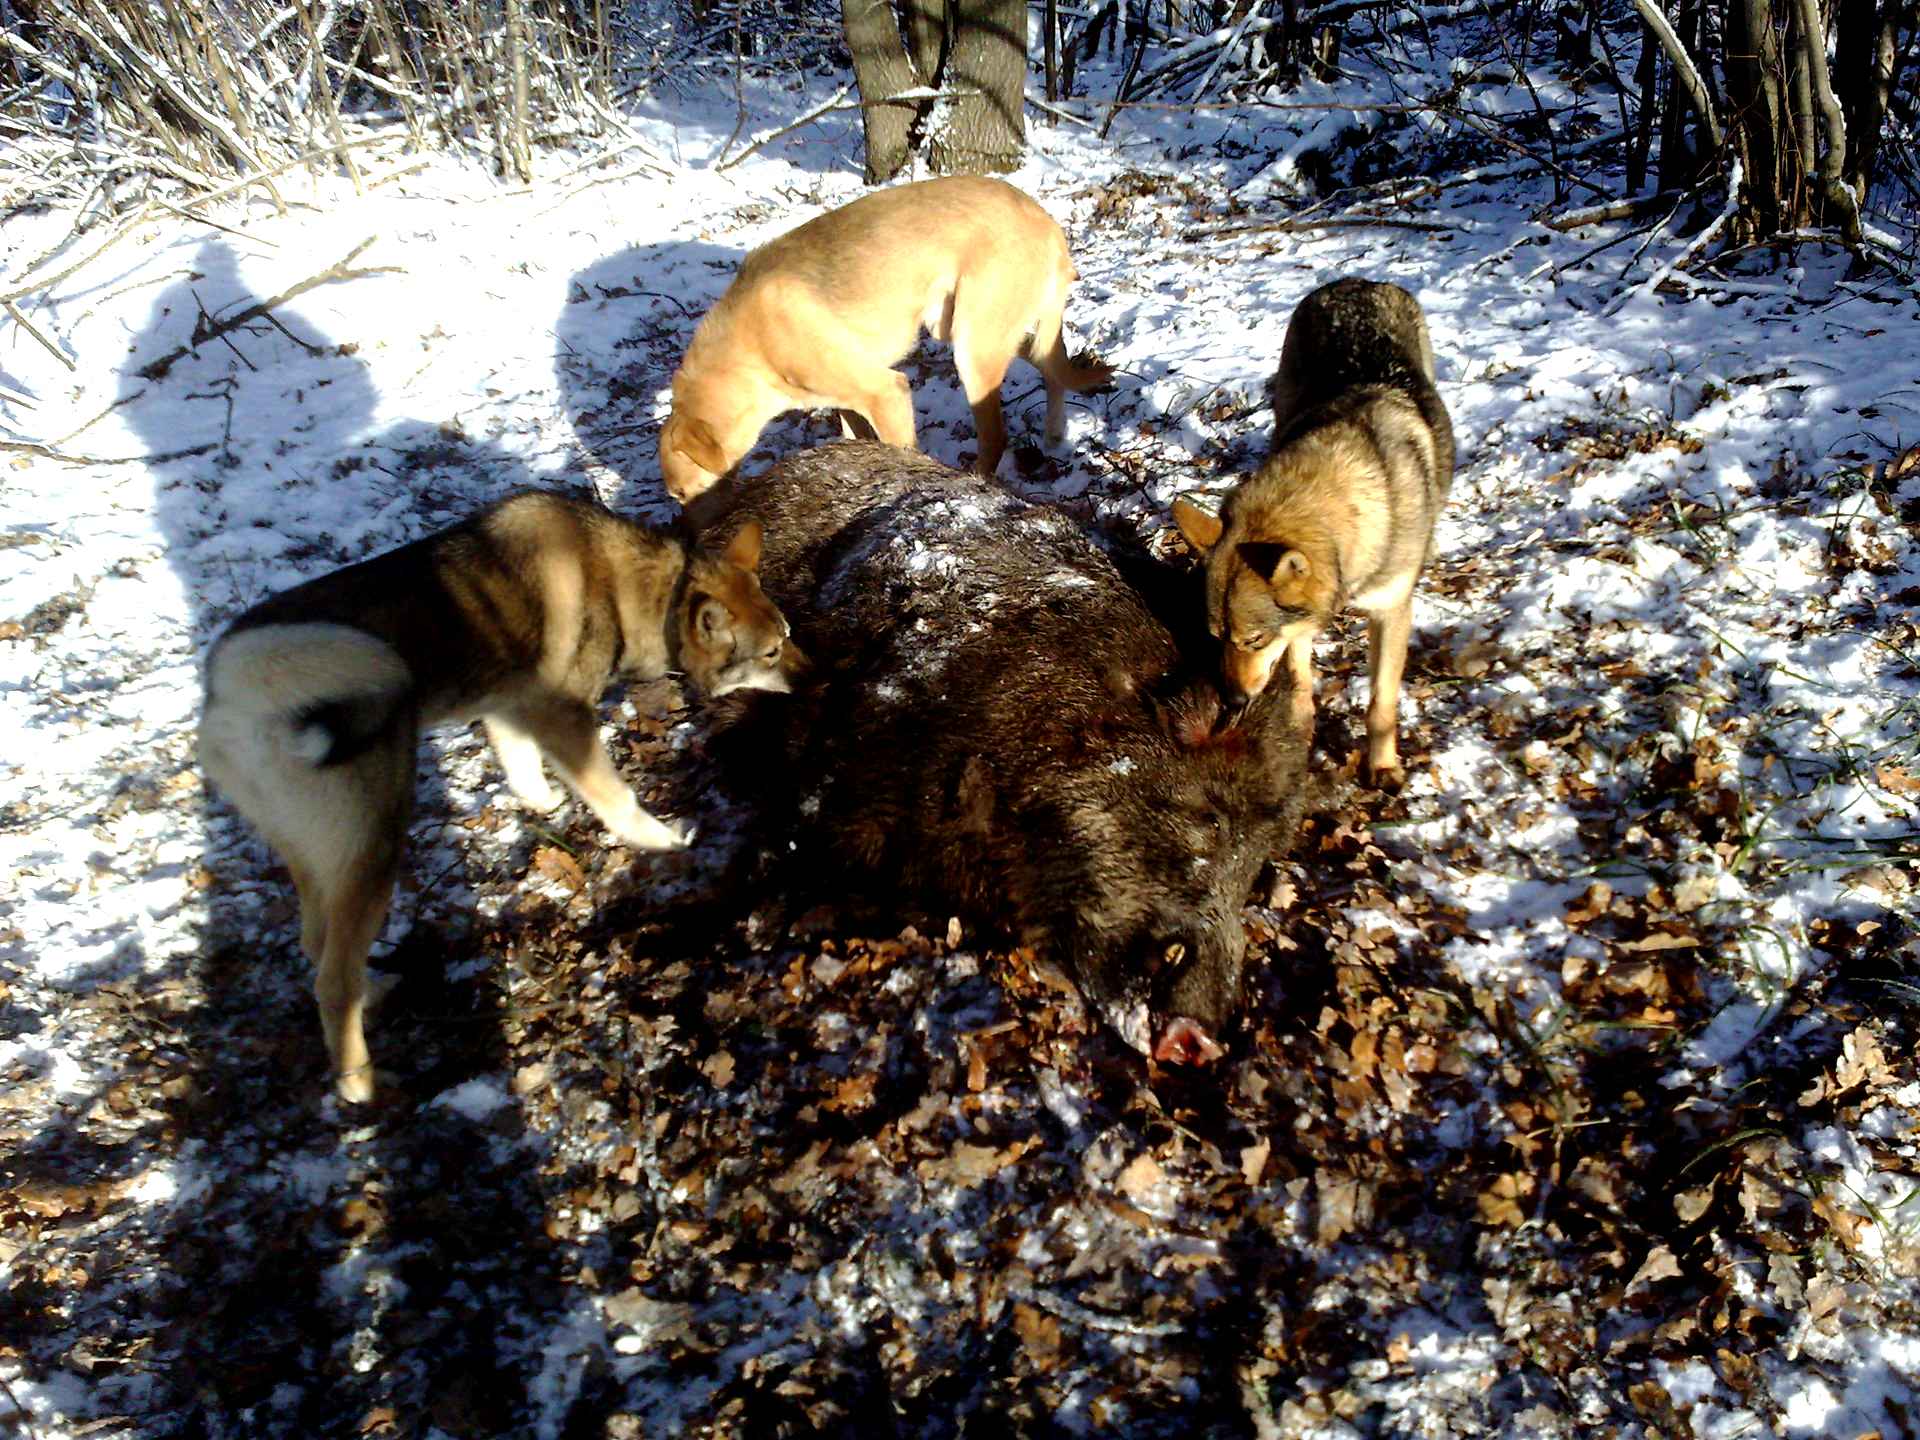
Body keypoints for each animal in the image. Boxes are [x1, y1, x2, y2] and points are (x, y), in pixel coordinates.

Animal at [196, 495, 787, 1105]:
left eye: (787, 637)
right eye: (772, 652)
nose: (808, 675)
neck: (641, 590)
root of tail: (232, 697)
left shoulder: (510, 710)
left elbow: (525, 772)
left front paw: (547, 809)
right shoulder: (562, 715)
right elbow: (616, 797)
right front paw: (663, 840)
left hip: (319, 857)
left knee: (317, 944)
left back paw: (375, 988)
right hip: (373, 846)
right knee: (332, 980)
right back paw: (360, 1083)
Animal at [660, 179, 1113, 503]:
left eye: (682, 493)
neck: (749, 355)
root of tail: (1047, 222)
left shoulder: (886, 394)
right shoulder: (849, 403)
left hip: (973, 349)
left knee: (997, 435)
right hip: (969, 328)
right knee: (1049, 362)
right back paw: (1056, 431)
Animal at [1167, 274, 1451, 783]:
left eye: (1252, 640)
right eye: (1216, 638)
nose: (1232, 700)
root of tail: (1356, 282)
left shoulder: (1391, 612)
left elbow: (1381, 703)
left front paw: (1382, 766)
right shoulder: (1298, 626)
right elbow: (1299, 674)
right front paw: (1298, 732)